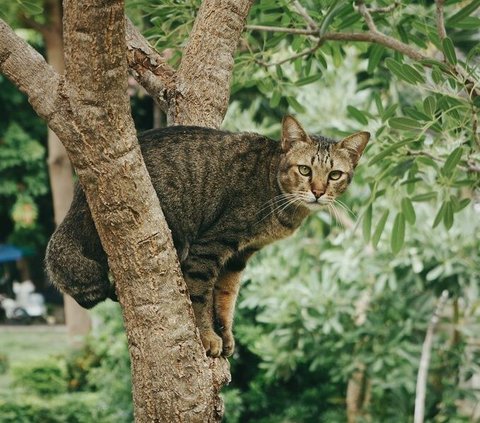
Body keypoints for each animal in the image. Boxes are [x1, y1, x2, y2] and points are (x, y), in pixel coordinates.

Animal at [45, 115, 370, 358]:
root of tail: (79, 195)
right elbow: (201, 296)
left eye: (335, 175)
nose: (318, 192)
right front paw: (207, 336)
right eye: (304, 170)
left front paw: (224, 334)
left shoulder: (239, 256)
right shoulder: (212, 245)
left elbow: (225, 299)